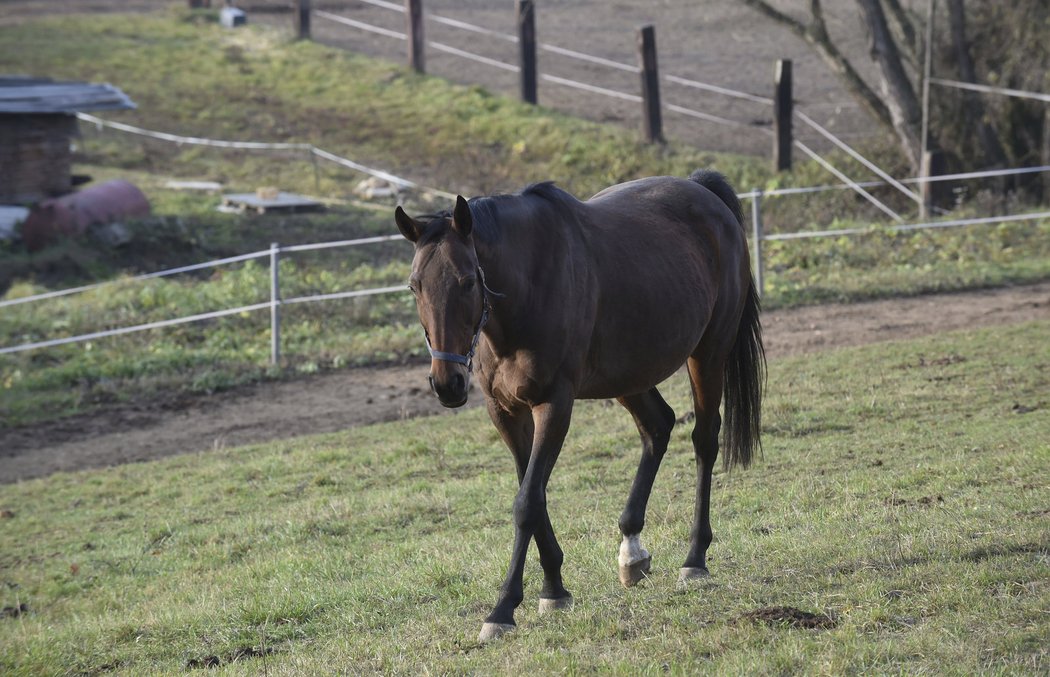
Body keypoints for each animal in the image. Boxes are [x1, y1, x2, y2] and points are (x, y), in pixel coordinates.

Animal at [394, 172, 764, 642]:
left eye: (466, 281)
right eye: (415, 286)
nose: (447, 384)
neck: (527, 291)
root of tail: (702, 189)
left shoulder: (554, 404)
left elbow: (526, 504)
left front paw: (503, 609)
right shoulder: (506, 412)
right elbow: (533, 494)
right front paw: (554, 587)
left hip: (708, 353)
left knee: (704, 441)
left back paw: (694, 560)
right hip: (628, 374)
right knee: (657, 427)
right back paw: (632, 551)